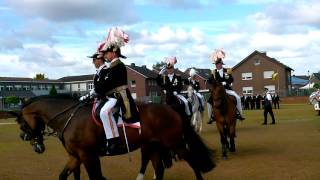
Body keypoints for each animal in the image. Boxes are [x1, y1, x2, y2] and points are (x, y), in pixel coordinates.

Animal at [10, 95, 215, 179]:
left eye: (22, 123)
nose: (23, 137)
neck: (69, 117)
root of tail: (170, 108)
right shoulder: (76, 156)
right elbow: (62, 176)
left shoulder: (87, 156)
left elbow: (96, 178)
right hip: (154, 146)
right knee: (159, 169)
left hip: (174, 143)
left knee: (193, 161)